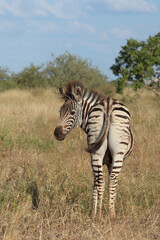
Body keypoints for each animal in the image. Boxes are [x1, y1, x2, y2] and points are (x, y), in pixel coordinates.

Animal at [54, 81, 134, 219]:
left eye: (72, 112)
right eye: (60, 111)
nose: (57, 133)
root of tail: (108, 104)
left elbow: (95, 183)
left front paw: (93, 212)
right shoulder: (107, 160)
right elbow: (103, 182)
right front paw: (98, 209)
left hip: (97, 151)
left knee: (101, 180)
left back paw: (100, 214)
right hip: (116, 153)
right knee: (111, 180)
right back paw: (110, 214)